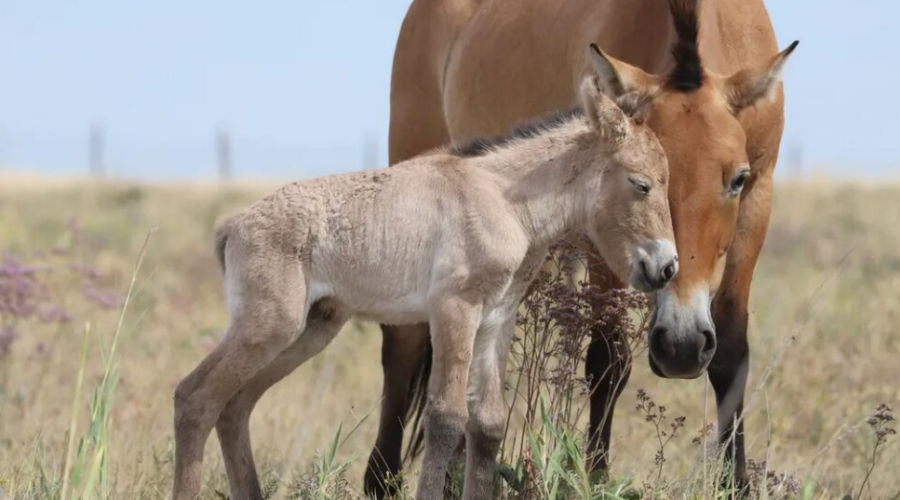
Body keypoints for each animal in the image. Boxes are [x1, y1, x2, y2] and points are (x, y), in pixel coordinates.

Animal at [171, 66, 678, 500]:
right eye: (641, 184)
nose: (666, 267)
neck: (504, 200)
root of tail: (233, 225)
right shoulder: (454, 309)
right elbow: (447, 418)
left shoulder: (496, 319)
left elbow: (488, 424)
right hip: (270, 326)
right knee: (194, 398)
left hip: (310, 330)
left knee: (234, 405)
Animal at [365, 0, 798, 495]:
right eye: (636, 181)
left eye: (737, 179)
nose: (681, 347)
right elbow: (608, 359)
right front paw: (595, 478)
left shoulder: (757, 204)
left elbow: (730, 353)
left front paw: (735, 485)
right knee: (402, 345)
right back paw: (383, 481)